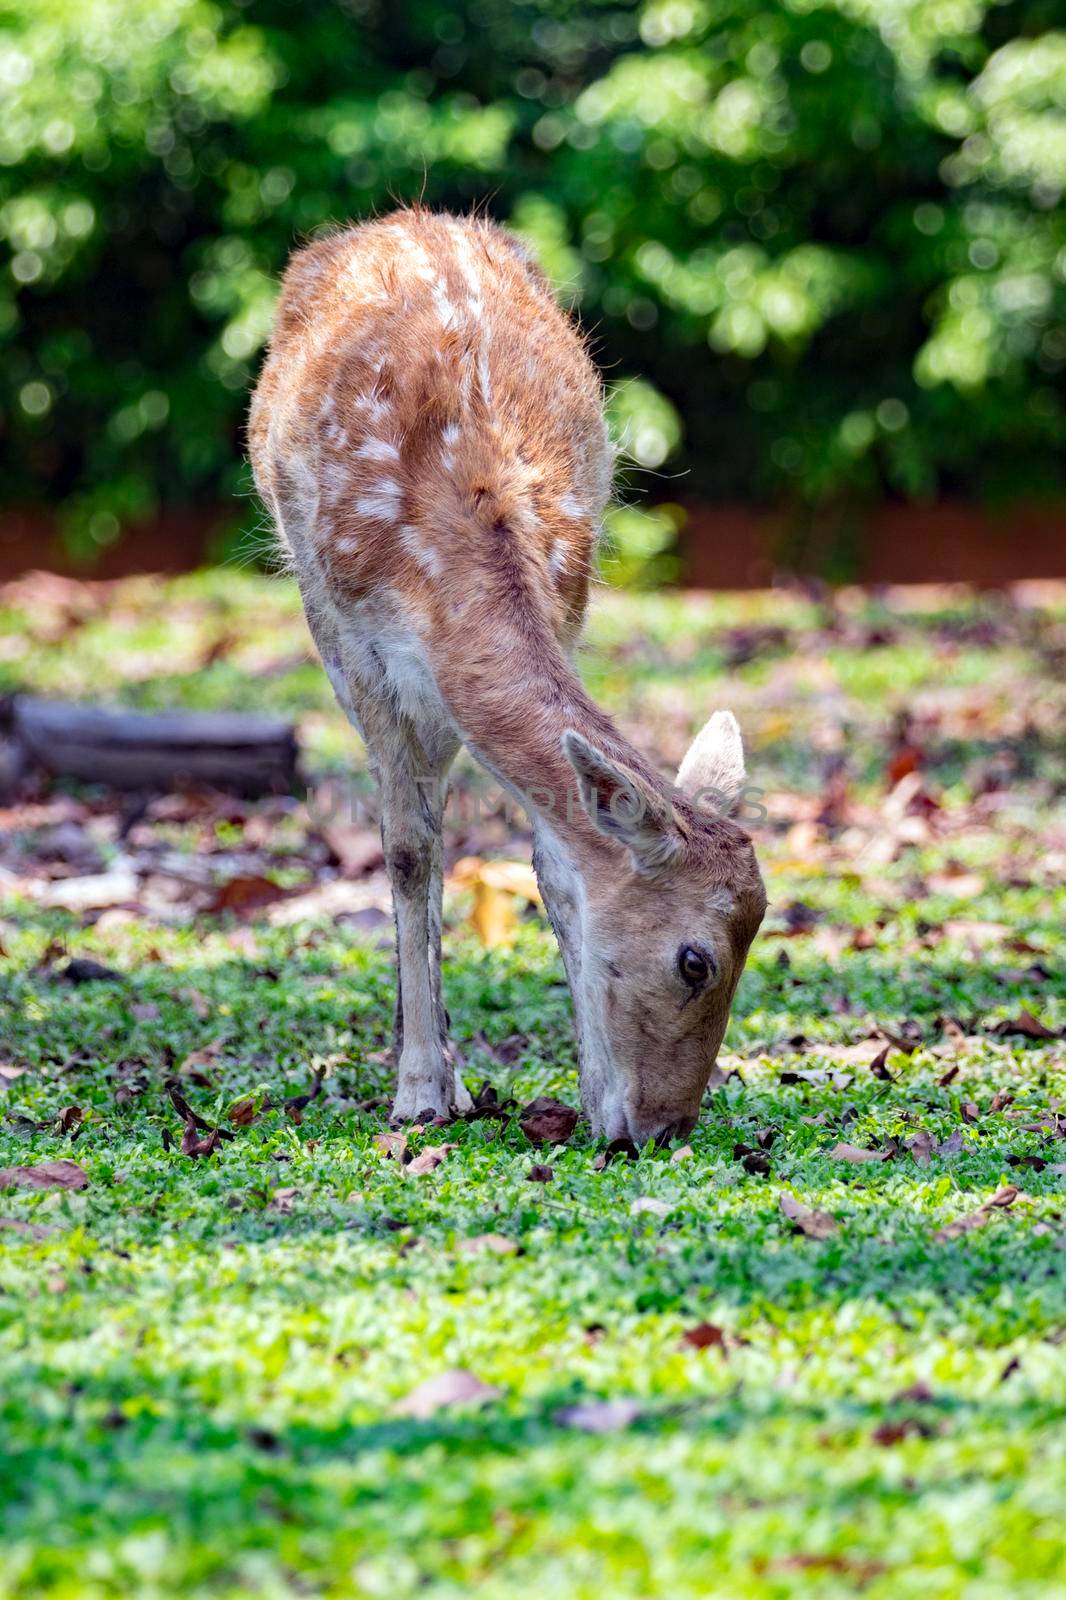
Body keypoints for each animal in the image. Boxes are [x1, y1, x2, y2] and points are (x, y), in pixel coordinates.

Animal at [249, 212, 765, 1145]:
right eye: (695, 961)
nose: (665, 1128)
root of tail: (400, 216)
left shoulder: (569, 603)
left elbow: (550, 858)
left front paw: (586, 1093)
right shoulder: (354, 647)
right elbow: (407, 851)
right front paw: (419, 1090)